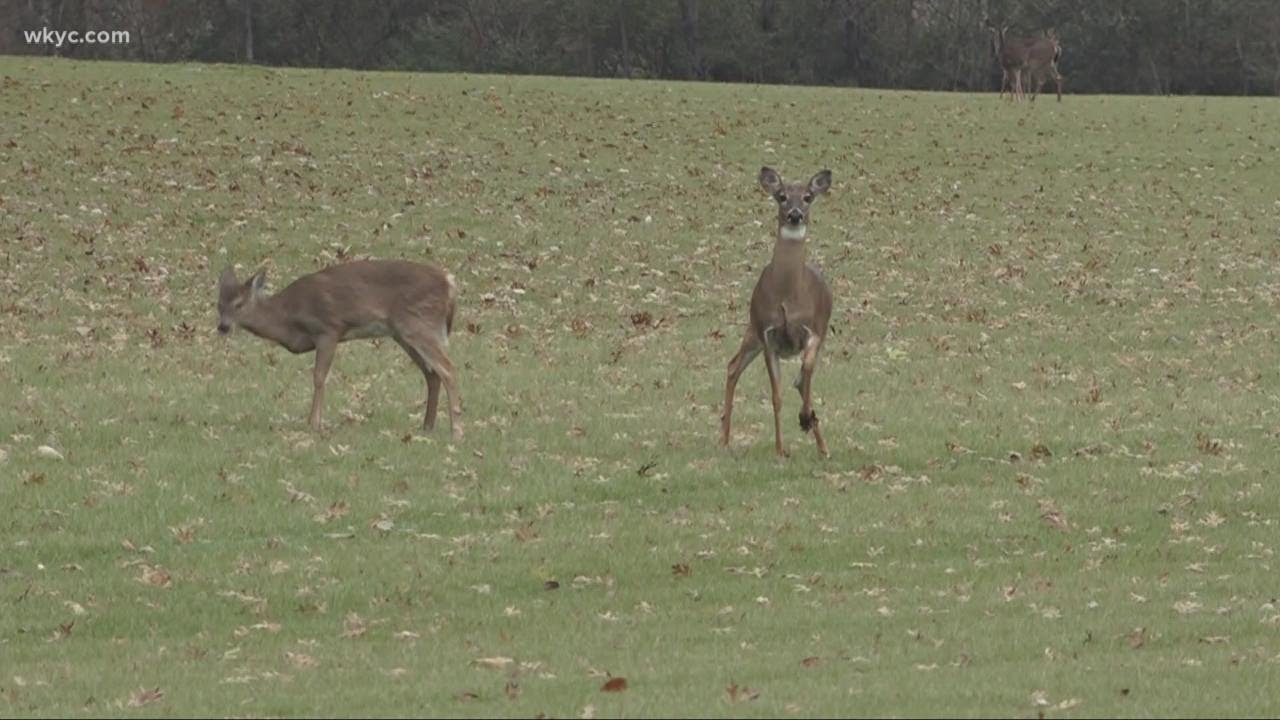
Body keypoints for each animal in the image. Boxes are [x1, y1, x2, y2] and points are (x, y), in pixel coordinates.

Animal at [215, 259, 463, 440]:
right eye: (218, 304)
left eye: (239, 304)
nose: (223, 326)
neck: (287, 317)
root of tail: (449, 283)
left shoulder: (329, 329)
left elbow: (319, 377)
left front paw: (314, 424)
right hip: (402, 332)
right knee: (432, 373)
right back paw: (427, 426)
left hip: (420, 323)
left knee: (448, 369)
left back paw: (457, 431)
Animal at [720, 167, 833, 459]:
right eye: (781, 196)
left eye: (808, 197)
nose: (795, 214)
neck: (787, 296)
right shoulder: (767, 333)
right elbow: (777, 396)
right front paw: (781, 449)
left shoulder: (814, 329)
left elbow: (805, 372)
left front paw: (805, 419)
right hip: (752, 329)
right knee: (733, 366)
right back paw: (724, 439)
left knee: (803, 380)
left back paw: (822, 444)